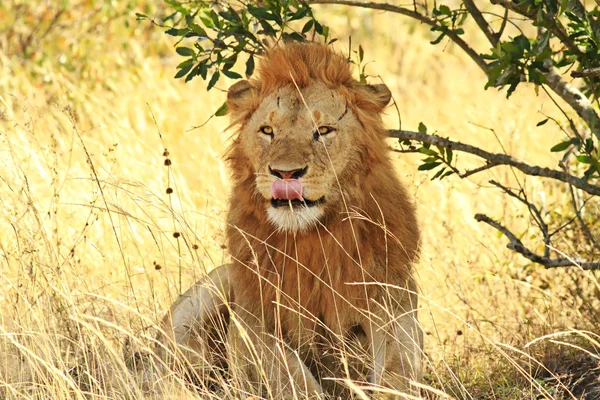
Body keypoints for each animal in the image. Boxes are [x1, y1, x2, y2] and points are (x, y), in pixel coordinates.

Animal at [159, 42, 422, 398]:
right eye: (268, 131)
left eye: (323, 131)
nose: (286, 174)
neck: (311, 238)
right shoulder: (253, 320)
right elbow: (291, 378)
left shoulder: (392, 301)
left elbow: (397, 369)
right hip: (210, 291)